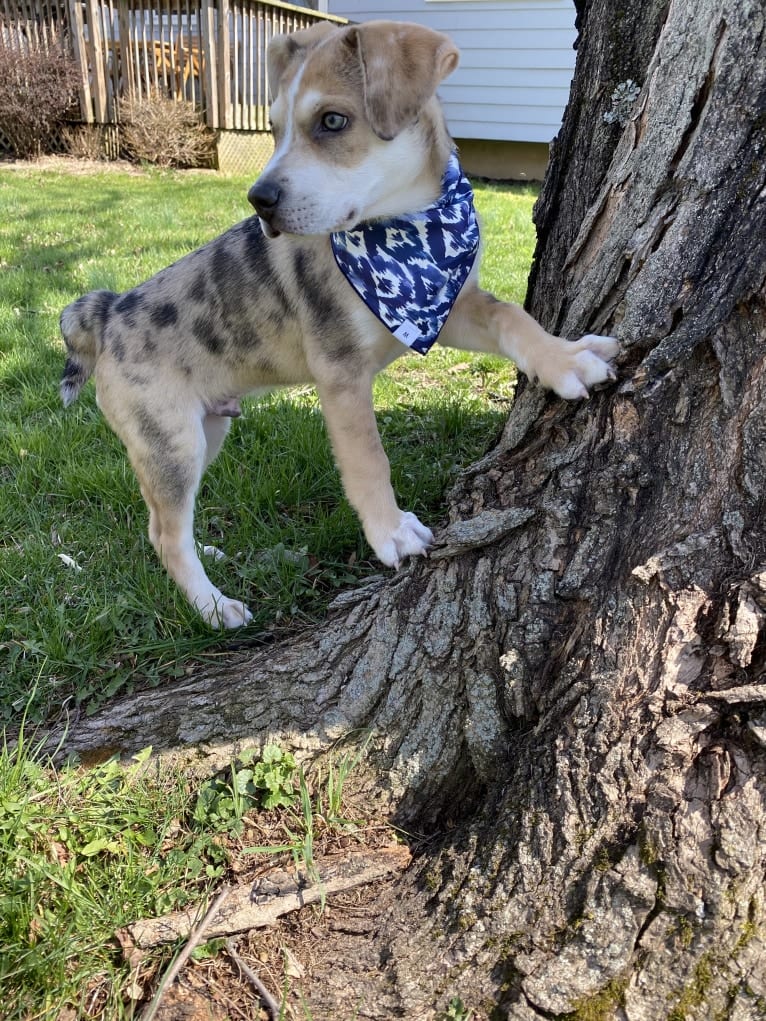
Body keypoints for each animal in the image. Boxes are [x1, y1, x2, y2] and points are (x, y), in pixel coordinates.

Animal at [58, 21, 616, 628]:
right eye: (273, 128)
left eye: (331, 121)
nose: (259, 201)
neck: (404, 229)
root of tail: (106, 312)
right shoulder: (340, 371)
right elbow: (368, 459)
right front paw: (392, 534)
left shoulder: (446, 310)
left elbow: (510, 314)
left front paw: (565, 358)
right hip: (169, 441)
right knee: (165, 534)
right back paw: (214, 606)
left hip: (205, 431)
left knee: (163, 523)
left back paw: (207, 552)